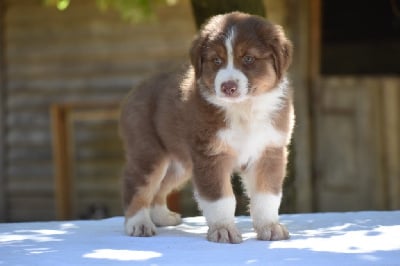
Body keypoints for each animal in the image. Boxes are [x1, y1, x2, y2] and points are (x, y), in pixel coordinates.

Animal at [119, 11, 294, 244]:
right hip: (149, 152)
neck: (243, 109)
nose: (228, 87)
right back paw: (138, 224)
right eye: (216, 60)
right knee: (137, 185)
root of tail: (136, 89)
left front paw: (270, 227)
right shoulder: (210, 155)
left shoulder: (269, 151)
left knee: (160, 187)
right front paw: (223, 230)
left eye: (248, 58)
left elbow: (267, 196)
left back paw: (162, 217)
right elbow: (220, 199)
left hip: (180, 163)